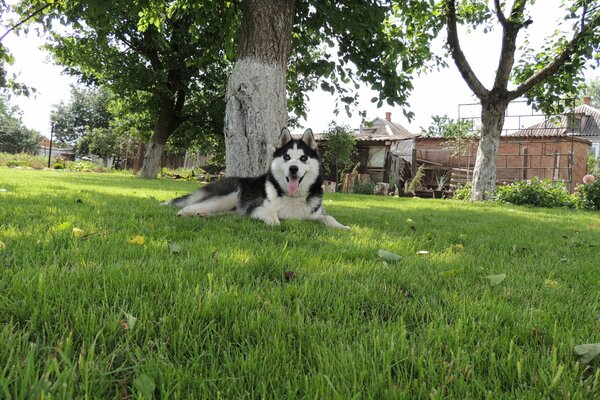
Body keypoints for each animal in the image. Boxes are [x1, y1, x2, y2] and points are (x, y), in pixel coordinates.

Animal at [166, 128, 350, 228]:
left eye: (303, 158)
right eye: (287, 157)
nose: (293, 168)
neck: (292, 197)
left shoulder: (316, 214)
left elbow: (329, 218)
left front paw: (343, 226)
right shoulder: (254, 206)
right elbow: (272, 214)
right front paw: (275, 222)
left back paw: (204, 215)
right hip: (230, 195)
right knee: (194, 205)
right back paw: (185, 213)